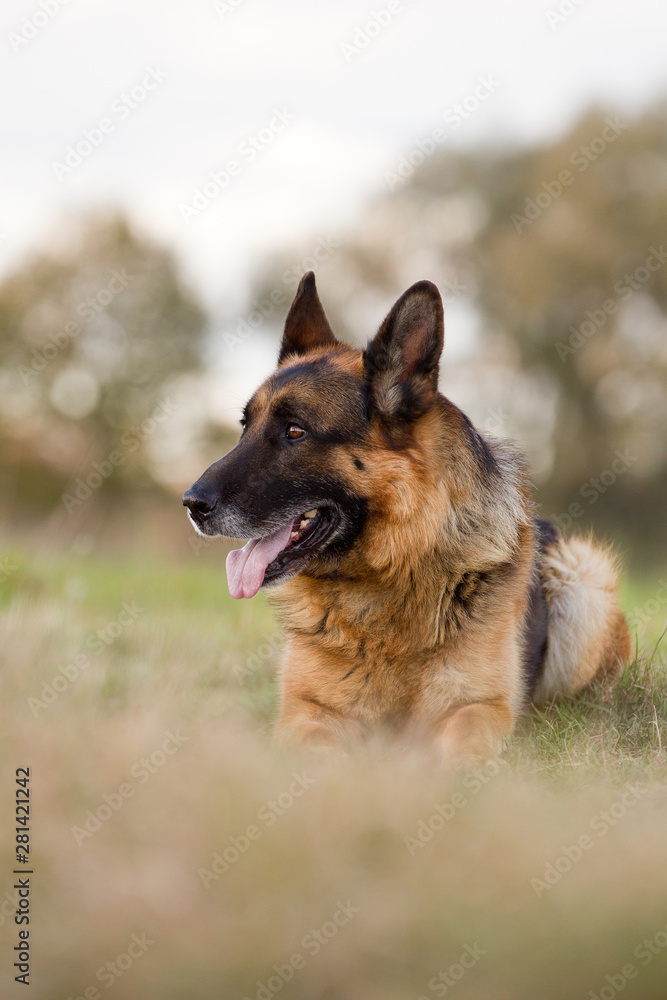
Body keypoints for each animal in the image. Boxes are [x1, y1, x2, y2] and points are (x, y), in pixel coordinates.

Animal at [184, 274, 632, 764]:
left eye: (295, 431)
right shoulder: (305, 710)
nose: (192, 504)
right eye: (245, 427)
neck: (386, 578)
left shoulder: (480, 708)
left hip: (582, 578)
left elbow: (457, 747)